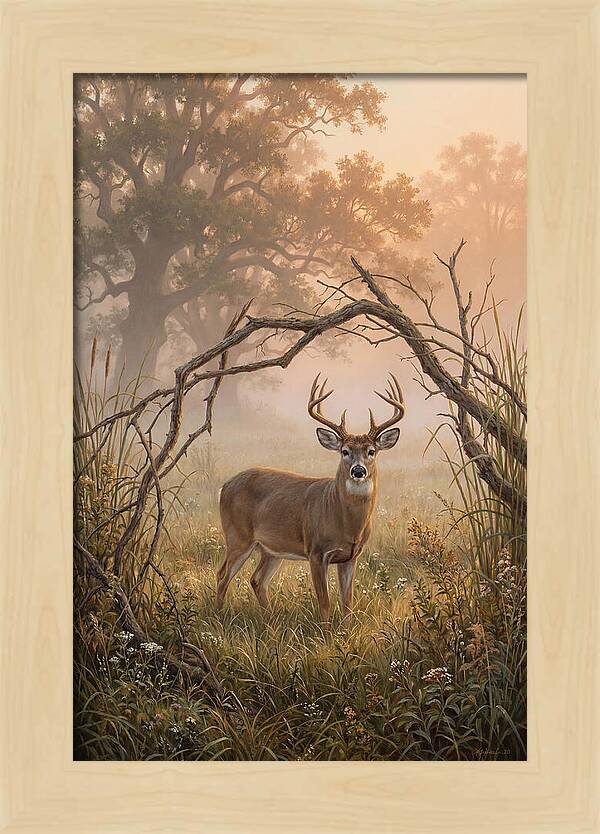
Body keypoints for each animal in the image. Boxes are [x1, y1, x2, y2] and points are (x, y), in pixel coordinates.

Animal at [216, 373, 405, 624]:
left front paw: (345, 630)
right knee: (222, 575)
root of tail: (224, 486)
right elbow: (324, 603)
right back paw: (218, 617)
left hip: (271, 548)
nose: (358, 470)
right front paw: (326, 632)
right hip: (238, 536)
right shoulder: (316, 551)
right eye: (344, 451)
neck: (346, 523)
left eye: (371, 451)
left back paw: (270, 621)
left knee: (257, 579)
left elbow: (347, 603)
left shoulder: (351, 556)